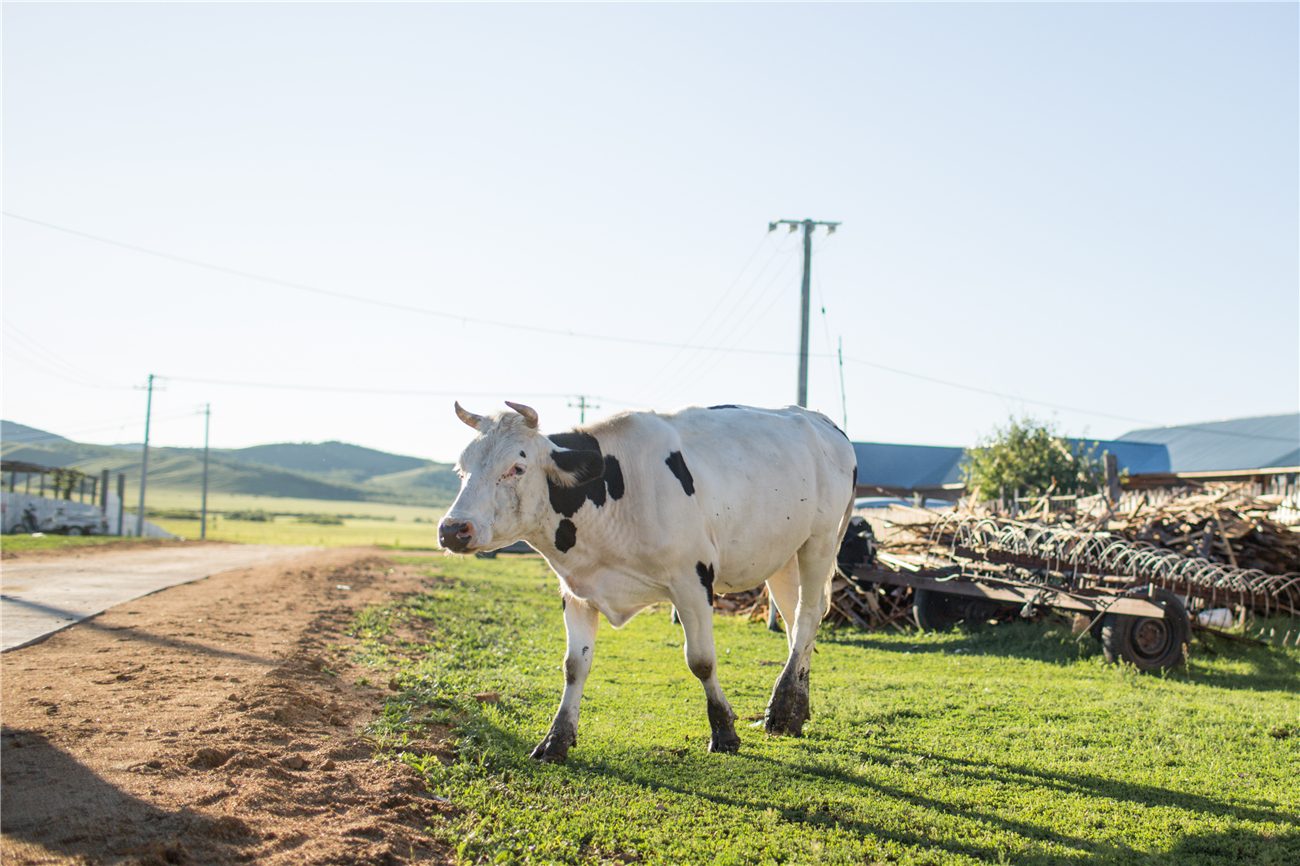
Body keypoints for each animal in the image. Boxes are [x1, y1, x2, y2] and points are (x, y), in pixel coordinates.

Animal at [439, 400, 863, 759]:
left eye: (517, 467)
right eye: (462, 470)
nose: (452, 529)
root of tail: (817, 418)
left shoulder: (693, 580)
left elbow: (702, 661)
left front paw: (724, 732)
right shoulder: (576, 590)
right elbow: (574, 666)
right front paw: (556, 739)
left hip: (821, 542)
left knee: (807, 617)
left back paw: (783, 709)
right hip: (783, 554)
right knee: (796, 623)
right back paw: (797, 707)